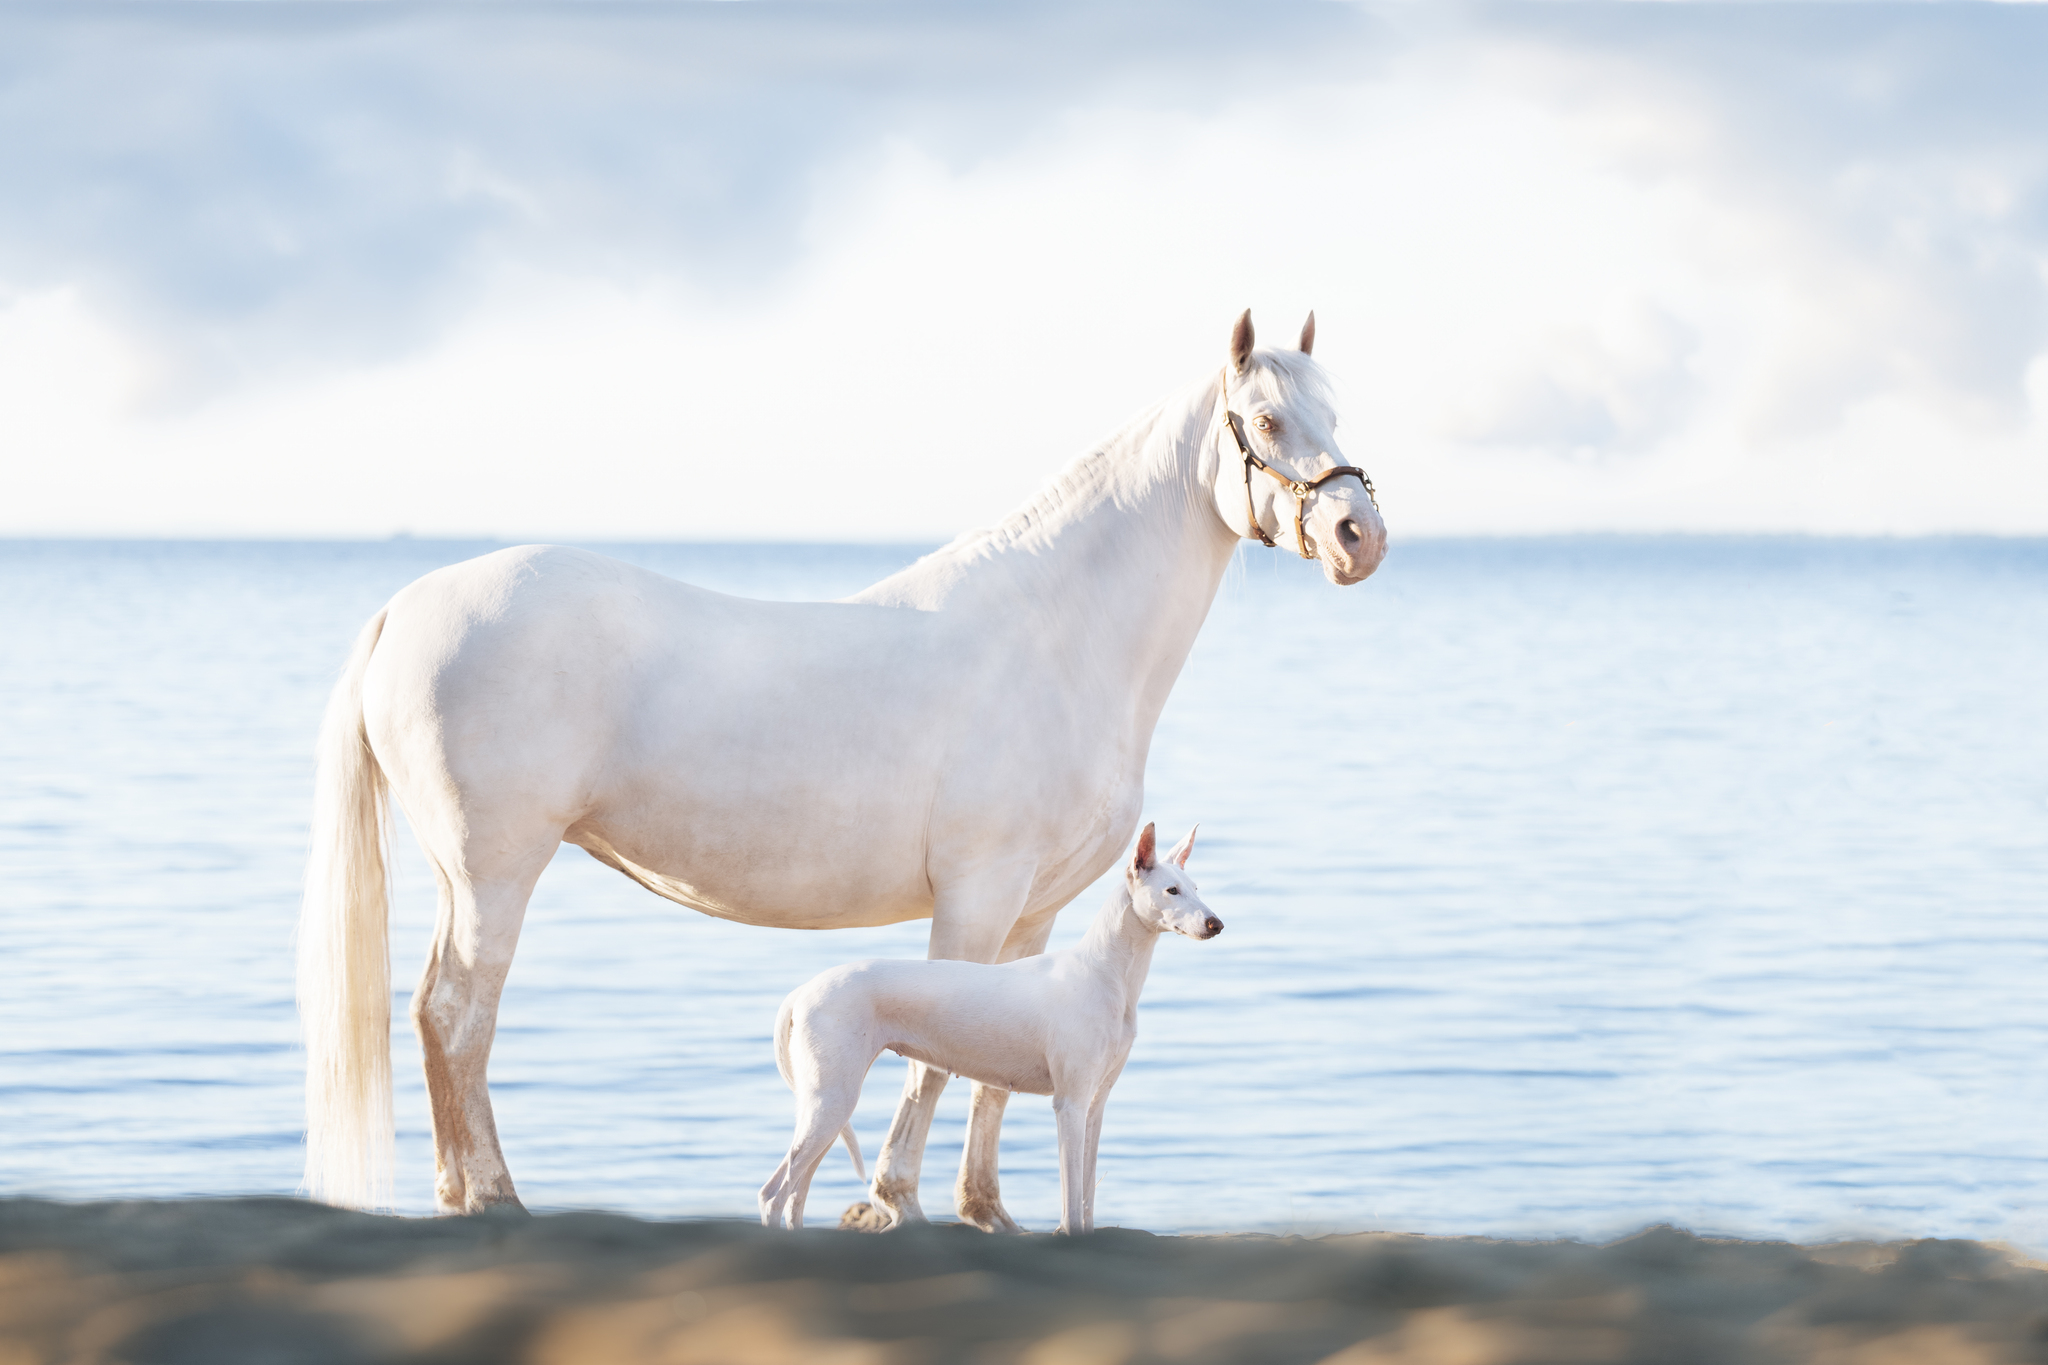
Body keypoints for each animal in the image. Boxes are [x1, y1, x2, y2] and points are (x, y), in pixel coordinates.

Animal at [765, 822, 1212, 1236]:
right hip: (832, 1100)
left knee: (796, 1191)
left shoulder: (1095, 1105)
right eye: (1172, 891)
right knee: (774, 1193)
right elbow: (1071, 1201)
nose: (1216, 924)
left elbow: (1086, 1196)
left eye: (1195, 887)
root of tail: (802, 991)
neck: (1103, 972)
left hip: (828, 1106)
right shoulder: (1069, 1104)